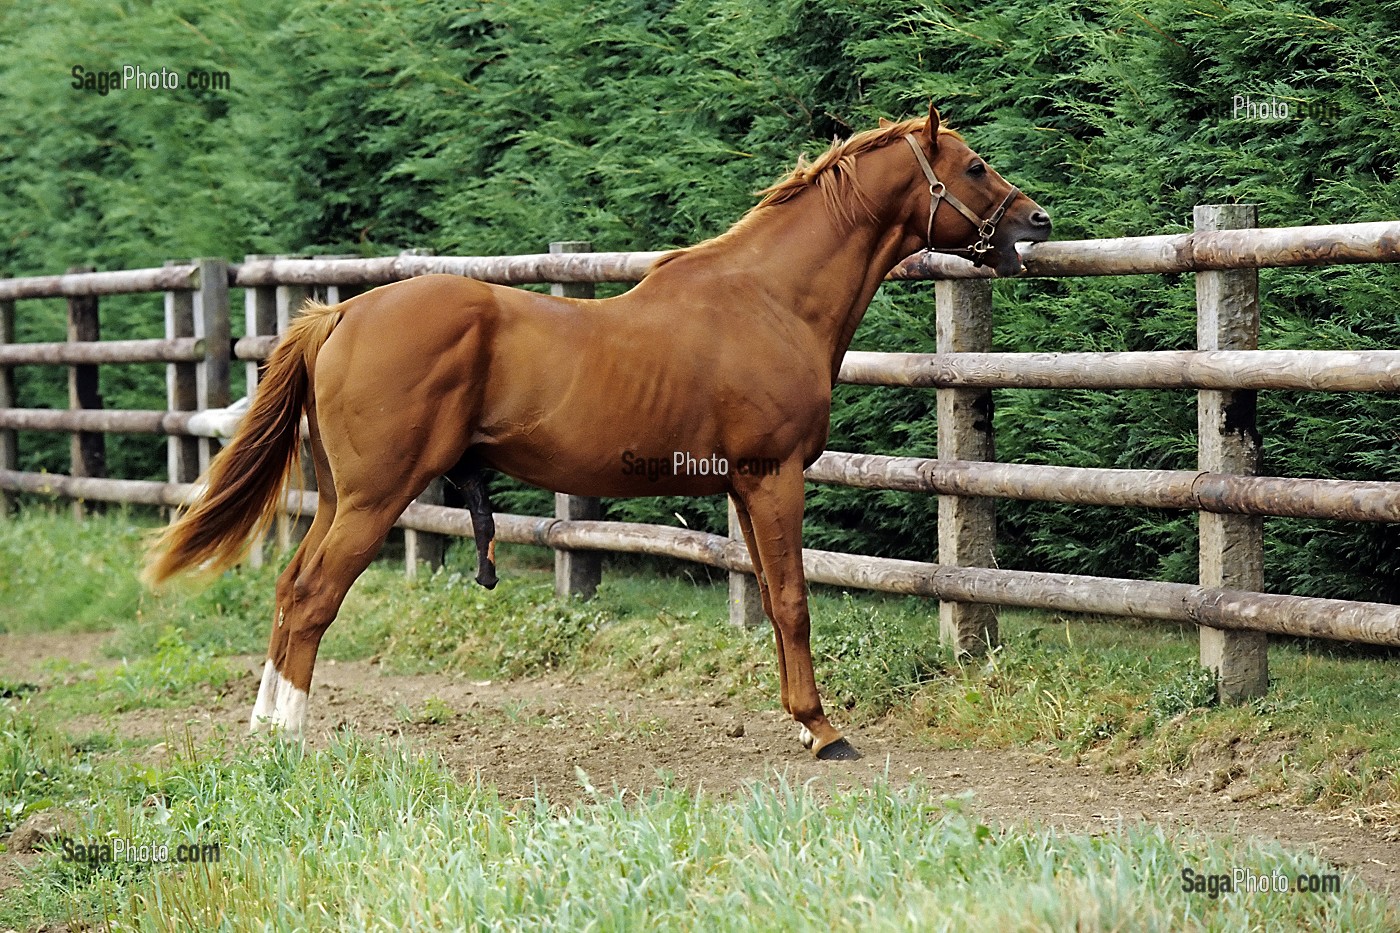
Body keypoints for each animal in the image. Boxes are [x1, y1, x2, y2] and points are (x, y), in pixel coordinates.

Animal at [144, 103, 1052, 756]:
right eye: (974, 165)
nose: (1037, 221)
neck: (769, 297)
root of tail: (340, 316)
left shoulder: (744, 487)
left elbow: (767, 594)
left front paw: (802, 719)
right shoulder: (773, 476)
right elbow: (794, 600)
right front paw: (824, 730)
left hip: (339, 497)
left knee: (289, 586)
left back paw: (265, 726)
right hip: (373, 499)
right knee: (313, 598)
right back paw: (290, 736)